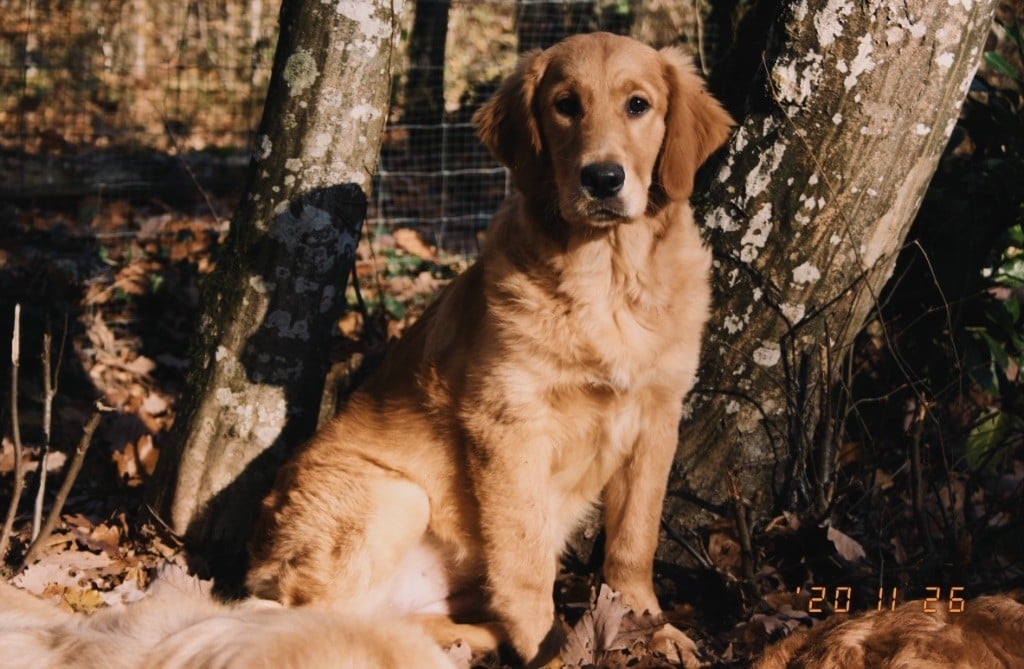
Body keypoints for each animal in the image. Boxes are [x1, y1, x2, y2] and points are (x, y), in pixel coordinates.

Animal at [245, 31, 729, 667]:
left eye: (639, 105)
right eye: (565, 105)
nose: (602, 178)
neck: (607, 276)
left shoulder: (656, 416)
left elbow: (635, 537)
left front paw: (652, 626)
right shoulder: (506, 424)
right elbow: (525, 559)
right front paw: (552, 649)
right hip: (396, 497)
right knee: (294, 617)